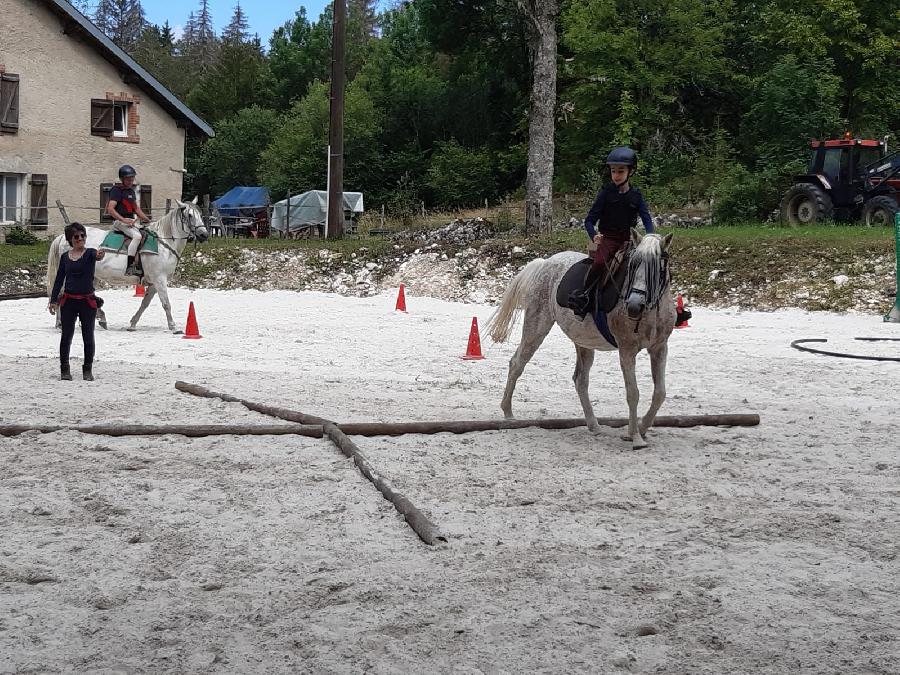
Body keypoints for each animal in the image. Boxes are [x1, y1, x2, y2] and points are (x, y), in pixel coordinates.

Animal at [47, 198, 207, 332]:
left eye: (200, 213)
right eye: (190, 215)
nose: (204, 235)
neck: (163, 243)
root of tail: (63, 237)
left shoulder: (154, 283)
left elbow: (144, 303)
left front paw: (132, 324)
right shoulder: (159, 279)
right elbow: (166, 303)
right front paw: (173, 327)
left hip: (90, 276)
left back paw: (100, 318)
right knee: (61, 294)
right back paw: (61, 324)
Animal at [486, 230, 676, 452]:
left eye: (657, 270)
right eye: (632, 266)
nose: (634, 306)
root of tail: (545, 262)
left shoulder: (659, 348)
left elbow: (660, 393)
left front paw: (642, 428)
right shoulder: (627, 351)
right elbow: (633, 393)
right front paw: (635, 436)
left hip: (583, 342)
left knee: (580, 380)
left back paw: (594, 425)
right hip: (537, 326)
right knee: (517, 363)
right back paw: (508, 412)